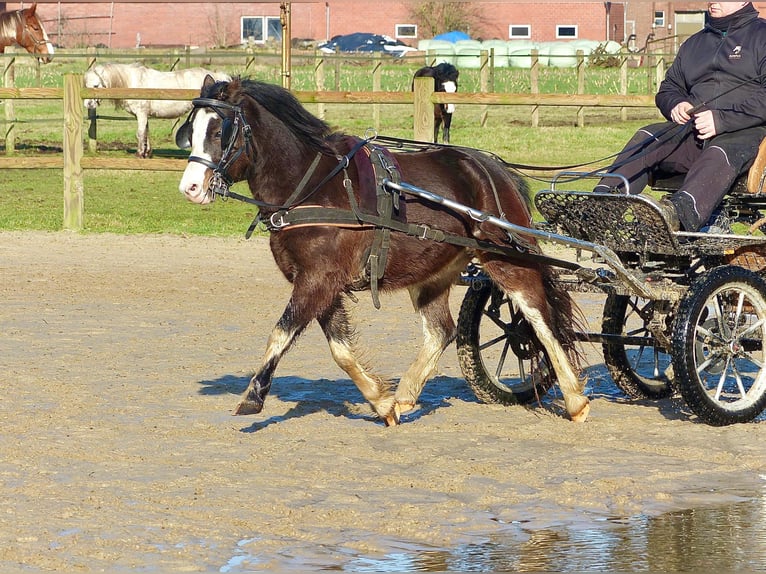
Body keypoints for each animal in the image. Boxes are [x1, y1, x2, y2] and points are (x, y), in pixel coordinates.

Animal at [177, 76, 592, 428]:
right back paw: (407, 394)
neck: (312, 186)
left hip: (506, 259)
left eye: (219, 131)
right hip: (434, 272)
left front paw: (253, 397)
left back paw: (574, 399)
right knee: (441, 331)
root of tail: (493, 168)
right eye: (190, 131)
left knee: (540, 319)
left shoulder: (318, 279)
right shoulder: (321, 283)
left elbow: (281, 333)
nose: (191, 188)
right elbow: (341, 350)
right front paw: (383, 402)